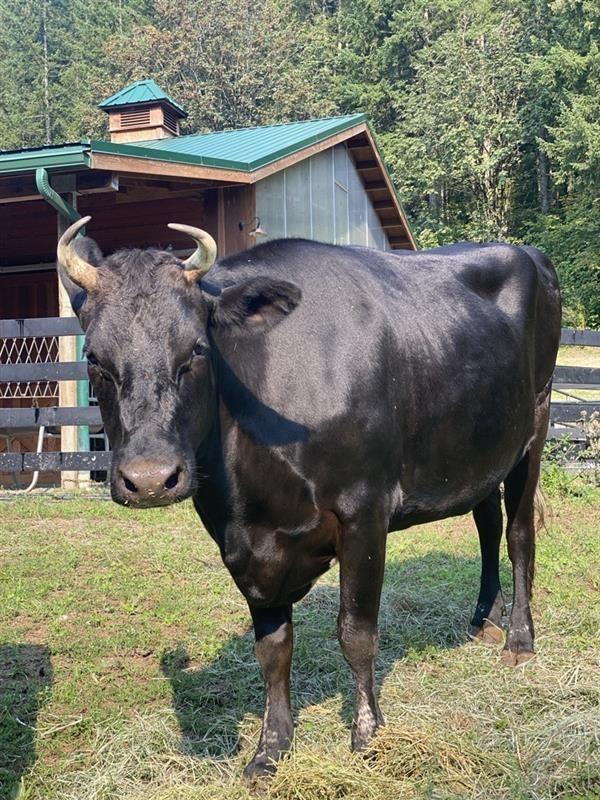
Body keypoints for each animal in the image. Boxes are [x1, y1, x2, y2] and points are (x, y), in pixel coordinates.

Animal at [57, 216, 561, 778]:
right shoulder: (243, 542)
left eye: (196, 350)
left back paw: (519, 639)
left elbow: (356, 632)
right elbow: (273, 648)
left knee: (518, 534)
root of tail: (527, 252)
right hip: (477, 450)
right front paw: (271, 747)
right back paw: (483, 620)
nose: (149, 478)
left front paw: (367, 734)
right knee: (487, 525)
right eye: (93, 358)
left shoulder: (365, 511)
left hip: (534, 426)